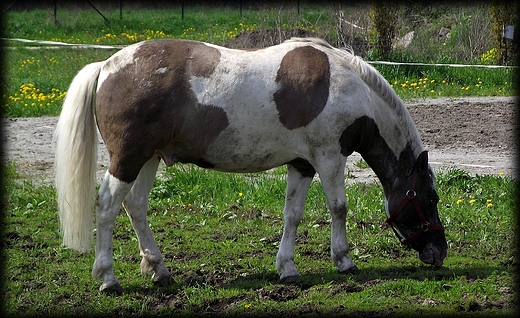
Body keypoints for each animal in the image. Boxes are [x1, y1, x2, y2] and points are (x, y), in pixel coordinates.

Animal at [53, 36, 446, 294]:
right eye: (430, 198)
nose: (439, 253)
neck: (348, 86)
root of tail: (106, 66)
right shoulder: (329, 157)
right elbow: (339, 208)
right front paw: (344, 261)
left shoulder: (302, 164)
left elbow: (293, 214)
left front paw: (287, 268)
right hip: (128, 158)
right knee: (107, 207)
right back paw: (108, 278)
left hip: (149, 158)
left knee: (135, 206)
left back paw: (159, 270)